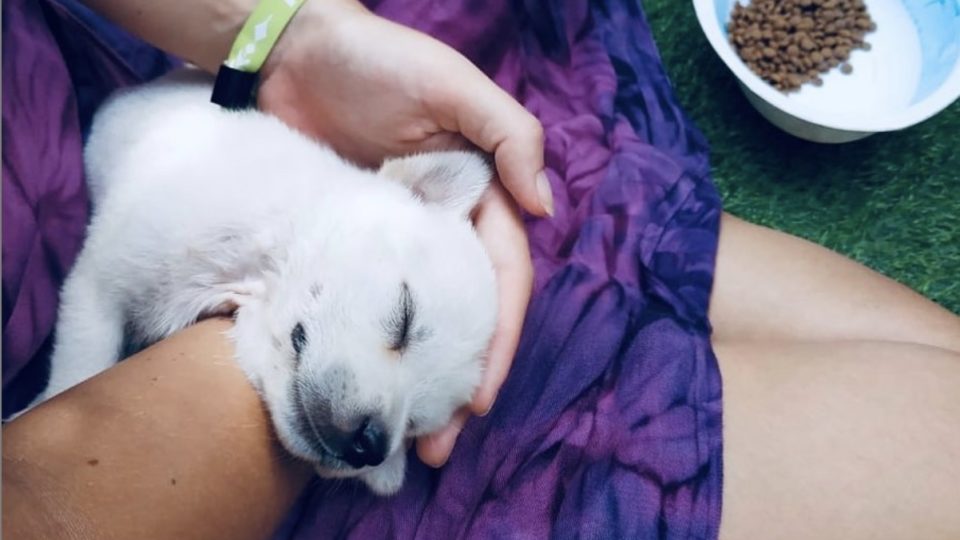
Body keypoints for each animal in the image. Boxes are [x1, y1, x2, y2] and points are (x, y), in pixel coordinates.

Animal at [33, 69, 496, 496]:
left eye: (414, 426)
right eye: (404, 318)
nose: (371, 446)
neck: (251, 275)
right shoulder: (98, 288)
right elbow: (78, 371)